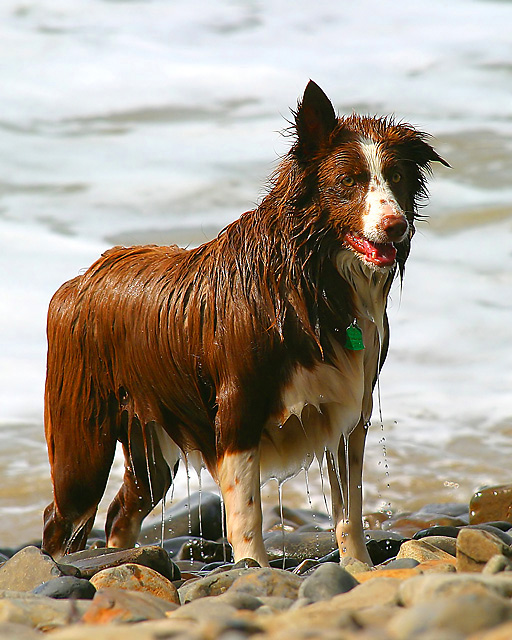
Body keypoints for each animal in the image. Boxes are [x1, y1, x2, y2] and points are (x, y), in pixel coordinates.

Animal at [41, 81, 448, 564]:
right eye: (348, 181)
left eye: (397, 177)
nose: (395, 226)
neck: (311, 283)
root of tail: (77, 281)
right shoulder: (237, 410)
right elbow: (247, 512)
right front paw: (254, 567)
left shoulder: (350, 413)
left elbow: (349, 508)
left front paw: (359, 567)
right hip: (83, 444)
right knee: (60, 519)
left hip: (150, 443)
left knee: (122, 509)